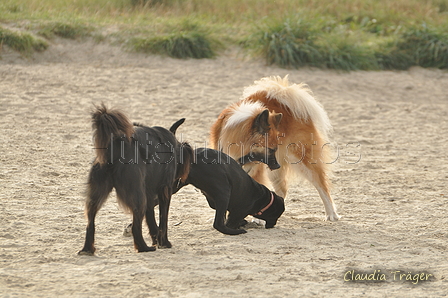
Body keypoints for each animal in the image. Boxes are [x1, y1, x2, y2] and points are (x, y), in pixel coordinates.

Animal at [79, 104, 192, 254]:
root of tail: (115, 146)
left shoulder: (149, 194)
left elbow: (151, 220)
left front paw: (157, 240)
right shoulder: (164, 191)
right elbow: (163, 221)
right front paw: (164, 243)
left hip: (96, 194)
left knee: (90, 223)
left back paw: (87, 249)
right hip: (137, 196)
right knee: (135, 226)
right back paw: (144, 247)